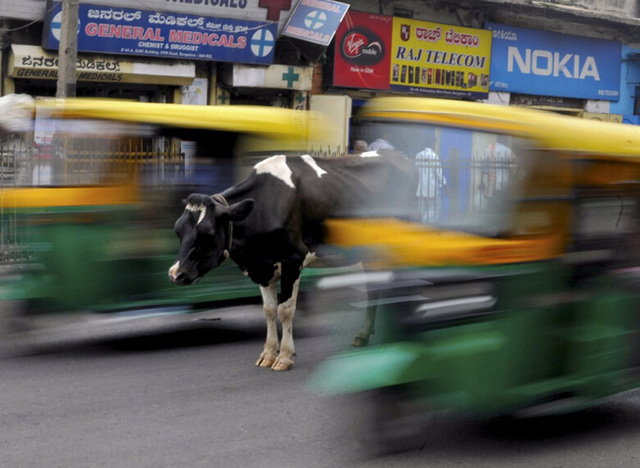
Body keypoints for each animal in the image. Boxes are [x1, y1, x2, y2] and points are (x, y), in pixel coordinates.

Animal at [168, 149, 418, 370]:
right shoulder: (263, 266)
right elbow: (269, 310)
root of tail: (399, 156)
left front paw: (285, 356)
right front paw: (268, 354)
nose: (175, 274)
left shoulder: (293, 259)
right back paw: (364, 334)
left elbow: (285, 310)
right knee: (377, 286)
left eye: (208, 233)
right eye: (178, 231)